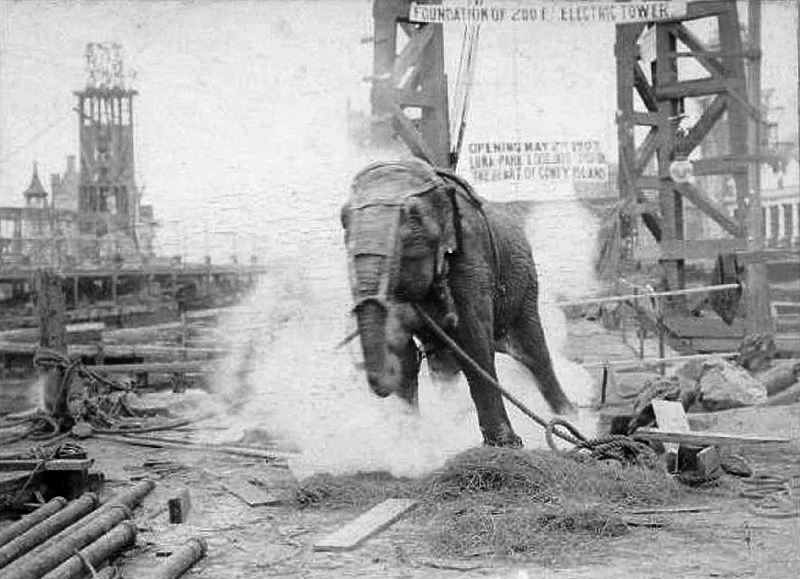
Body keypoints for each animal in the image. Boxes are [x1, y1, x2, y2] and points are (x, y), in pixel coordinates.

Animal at [338, 159, 576, 448]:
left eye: (413, 218)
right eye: (343, 219)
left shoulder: (471, 258)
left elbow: (473, 342)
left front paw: (506, 446)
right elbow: (402, 349)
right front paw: (409, 442)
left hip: (525, 285)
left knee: (535, 354)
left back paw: (571, 418)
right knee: (443, 364)